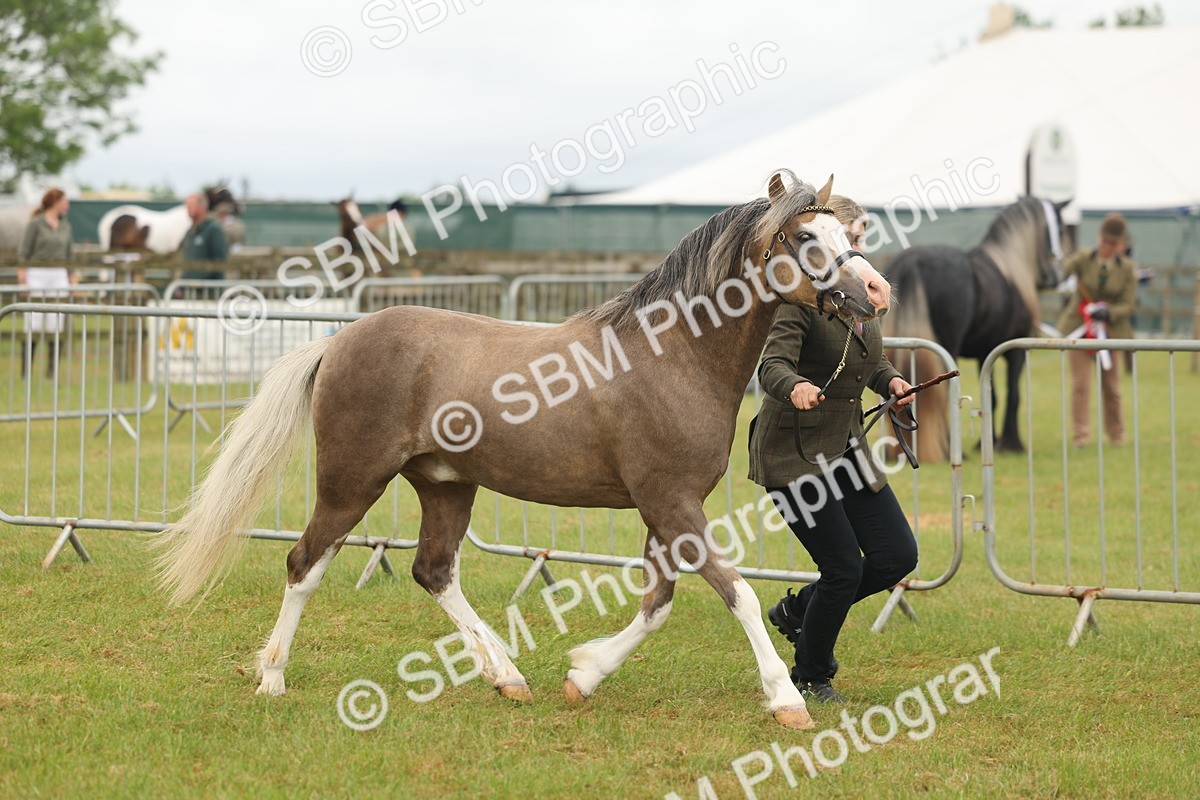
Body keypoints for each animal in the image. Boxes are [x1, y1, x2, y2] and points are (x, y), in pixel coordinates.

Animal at [153, 172, 892, 730]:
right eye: (806, 237)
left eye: (843, 235)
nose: (874, 294)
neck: (672, 355)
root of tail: (338, 339)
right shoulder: (672, 502)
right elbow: (733, 590)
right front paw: (787, 699)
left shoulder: (665, 507)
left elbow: (658, 602)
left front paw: (583, 675)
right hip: (351, 481)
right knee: (305, 563)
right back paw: (272, 678)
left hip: (445, 484)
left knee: (433, 571)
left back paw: (507, 676)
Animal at [880, 196, 1065, 461]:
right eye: (1060, 228)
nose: (1055, 276)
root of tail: (912, 261)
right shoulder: (1015, 350)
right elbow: (1013, 395)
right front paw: (1012, 445)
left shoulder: (984, 354)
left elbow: (992, 396)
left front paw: (987, 443)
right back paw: (949, 449)